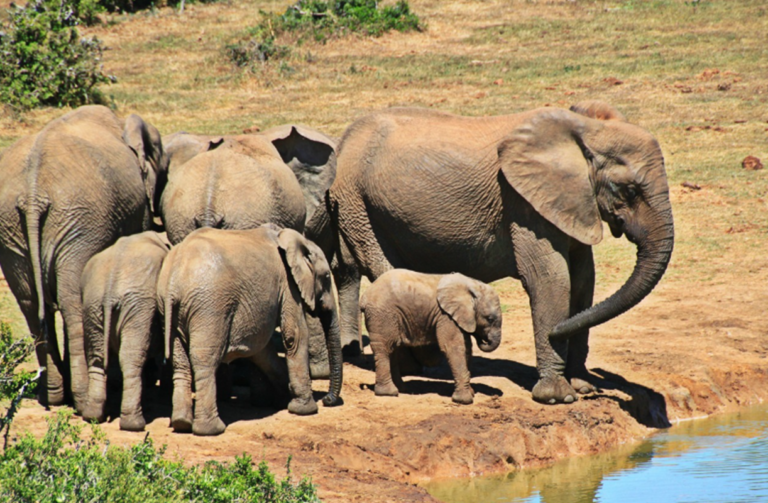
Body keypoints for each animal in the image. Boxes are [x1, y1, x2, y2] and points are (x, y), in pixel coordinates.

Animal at [0, 105, 168, 410]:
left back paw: (53, 396)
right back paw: (83, 399)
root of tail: (33, 194)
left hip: (14, 231)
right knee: (72, 302)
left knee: (31, 305)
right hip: (79, 223)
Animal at [80, 231, 171, 431]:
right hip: (138, 306)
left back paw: (92, 416)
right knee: (131, 358)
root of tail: (109, 291)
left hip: (92, 305)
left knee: (97, 358)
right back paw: (134, 424)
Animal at [157, 225, 342, 436]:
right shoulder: (288, 284)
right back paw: (211, 430)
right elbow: (295, 336)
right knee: (205, 361)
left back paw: (181, 423)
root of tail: (173, 280)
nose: (328, 400)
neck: (296, 240)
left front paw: (283, 400)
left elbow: (262, 350)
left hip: (169, 309)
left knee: (181, 362)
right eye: (326, 277)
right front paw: (305, 410)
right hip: (210, 307)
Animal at [361, 270, 502, 404]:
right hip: (381, 315)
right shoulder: (446, 316)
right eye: (489, 319)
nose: (483, 339)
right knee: (385, 348)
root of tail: (365, 296)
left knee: (393, 349)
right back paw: (389, 393)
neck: (473, 285)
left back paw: (402, 389)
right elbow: (453, 348)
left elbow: (467, 348)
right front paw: (464, 400)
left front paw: (471, 393)